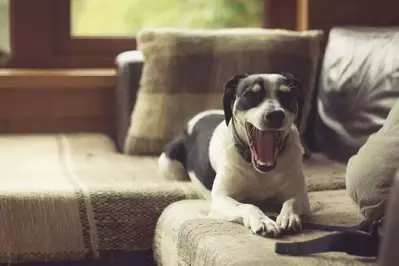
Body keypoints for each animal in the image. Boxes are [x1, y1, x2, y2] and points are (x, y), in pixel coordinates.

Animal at [158, 72, 310, 237]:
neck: (259, 172)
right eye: (251, 94)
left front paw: (289, 217)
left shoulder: (300, 195)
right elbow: (246, 205)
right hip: (168, 163)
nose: (275, 114)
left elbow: (291, 202)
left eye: (288, 95)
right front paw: (263, 221)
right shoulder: (221, 199)